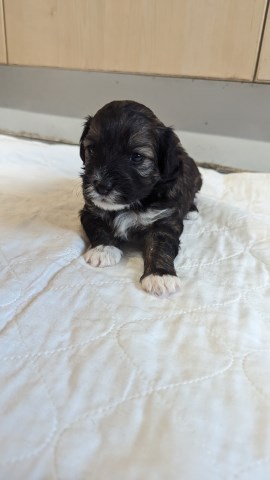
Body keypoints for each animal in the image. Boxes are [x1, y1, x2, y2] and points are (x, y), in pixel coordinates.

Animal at [79, 100, 201, 296]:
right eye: (92, 149)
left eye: (137, 157)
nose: (101, 186)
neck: (130, 204)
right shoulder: (90, 210)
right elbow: (97, 227)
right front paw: (104, 249)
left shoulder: (164, 221)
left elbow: (160, 245)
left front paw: (160, 275)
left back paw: (191, 210)